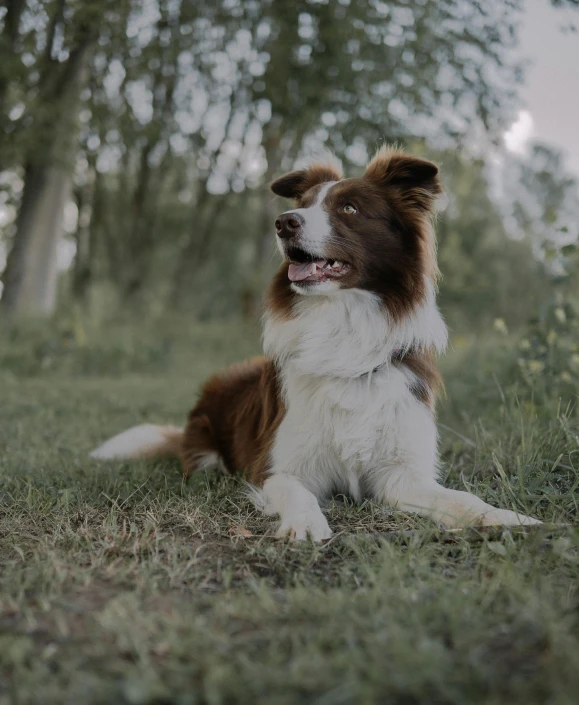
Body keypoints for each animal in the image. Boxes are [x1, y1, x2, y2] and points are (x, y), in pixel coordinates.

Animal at [90, 144, 540, 540]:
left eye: (349, 209)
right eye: (303, 204)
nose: (284, 222)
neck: (343, 328)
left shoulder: (401, 475)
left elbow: (462, 498)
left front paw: (508, 517)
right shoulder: (278, 468)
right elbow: (298, 493)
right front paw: (306, 524)